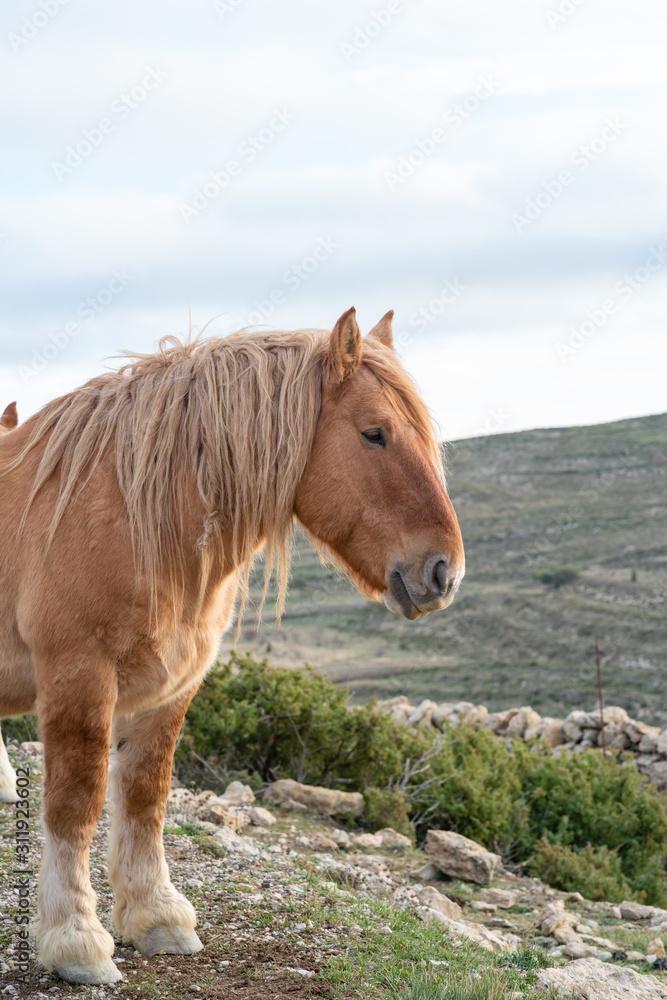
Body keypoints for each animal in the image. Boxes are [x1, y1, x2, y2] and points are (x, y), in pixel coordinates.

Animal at [0, 308, 464, 985]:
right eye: (374, 434)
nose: (444, 572)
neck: (132, 511)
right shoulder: (78, 676)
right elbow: (75, 804)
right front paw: (76, 941)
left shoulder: (171, 686)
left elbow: (145, 795)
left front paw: (157, 917)